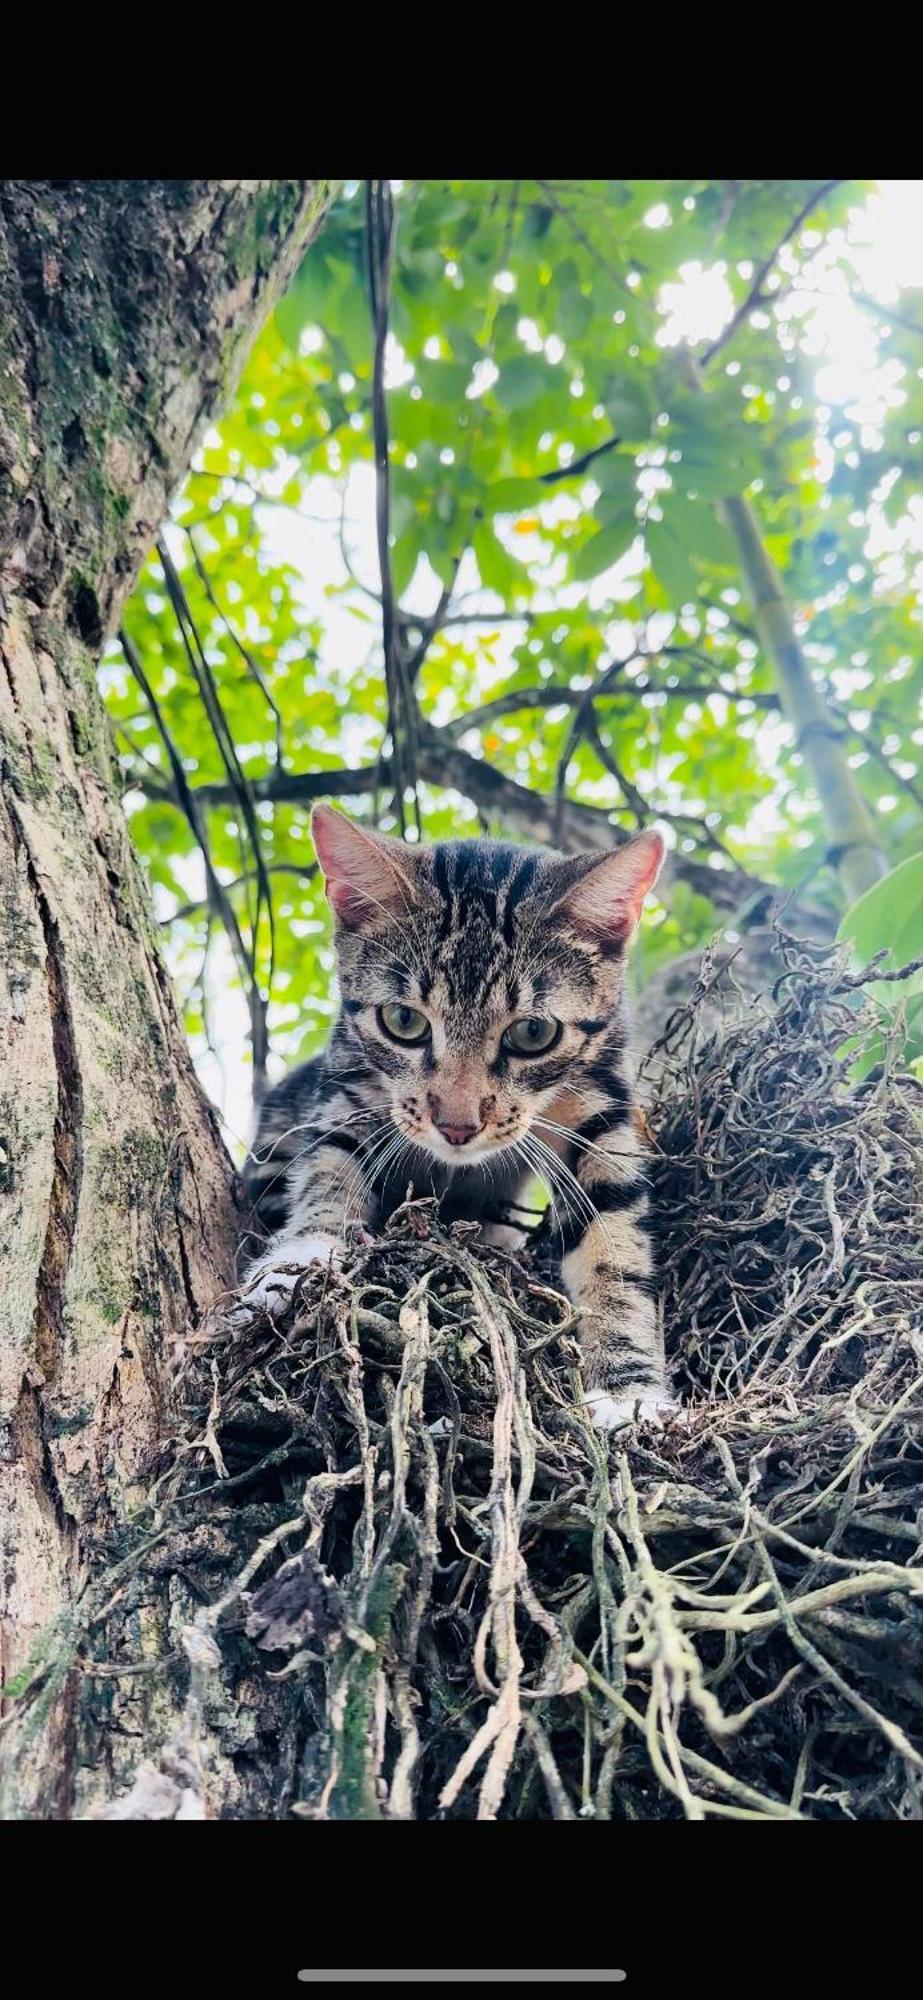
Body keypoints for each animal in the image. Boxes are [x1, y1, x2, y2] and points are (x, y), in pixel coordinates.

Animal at [239, 804, 671, 1432]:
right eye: (403, 1021)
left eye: (533, 1032)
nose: (457, 1127)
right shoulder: (349, 1081)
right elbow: (332, 1165)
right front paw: (302, 1256)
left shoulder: (601, 1102)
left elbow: (613, 1243)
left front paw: (626, 1387)